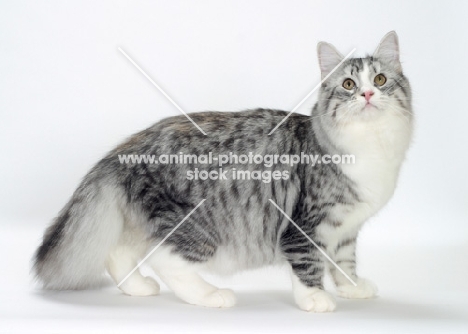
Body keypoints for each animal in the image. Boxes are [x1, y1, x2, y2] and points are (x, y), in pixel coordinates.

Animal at [33, 31, 414, 310]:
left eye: (380, 79)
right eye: (349, 85)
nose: (367, 94)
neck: (372, 145)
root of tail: (124, 148)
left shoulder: (345, 230)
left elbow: (344, 263)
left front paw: (353, 288)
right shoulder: (306, 225)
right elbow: (308, 265)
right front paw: (315, 299)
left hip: (148, 222)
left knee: (120, 253)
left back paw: (138, 288)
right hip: (194, 227)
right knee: (167, 261)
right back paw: (210, 295)